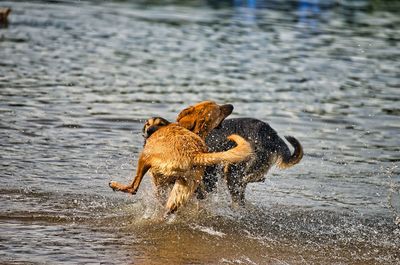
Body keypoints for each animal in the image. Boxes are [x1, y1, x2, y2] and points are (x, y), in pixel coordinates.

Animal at [109, 100, 253, 213]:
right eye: (219, 109)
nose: (231, 105)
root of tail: (194, 154)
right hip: (182, 189)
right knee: (170, 208)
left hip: (144, 159)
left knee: (133, 188)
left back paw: (115, 185)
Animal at [144, 105, 304, 206]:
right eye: (147, 124)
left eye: (161, 125)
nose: (148, 132)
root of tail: (272, 134)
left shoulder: (207, 180)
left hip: (234, 171)